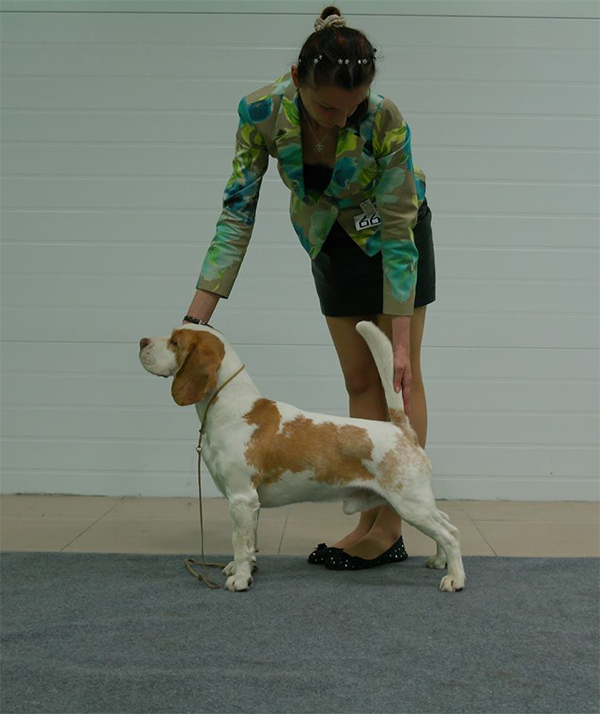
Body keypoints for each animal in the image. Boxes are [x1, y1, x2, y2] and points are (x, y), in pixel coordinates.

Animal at [139, 321, 466, 593]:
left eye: (175, 342)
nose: (142, 341)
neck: (232, 407)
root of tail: (400, 429)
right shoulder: (251, 503)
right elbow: (249, 540)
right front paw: (242, 568)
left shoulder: (242, 497)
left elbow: (239, 542)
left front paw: (240, 579)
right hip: (416, 502)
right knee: (446, 521)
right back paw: (439, 562)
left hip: (410, 504)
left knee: (451, 533)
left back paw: (454, 578)